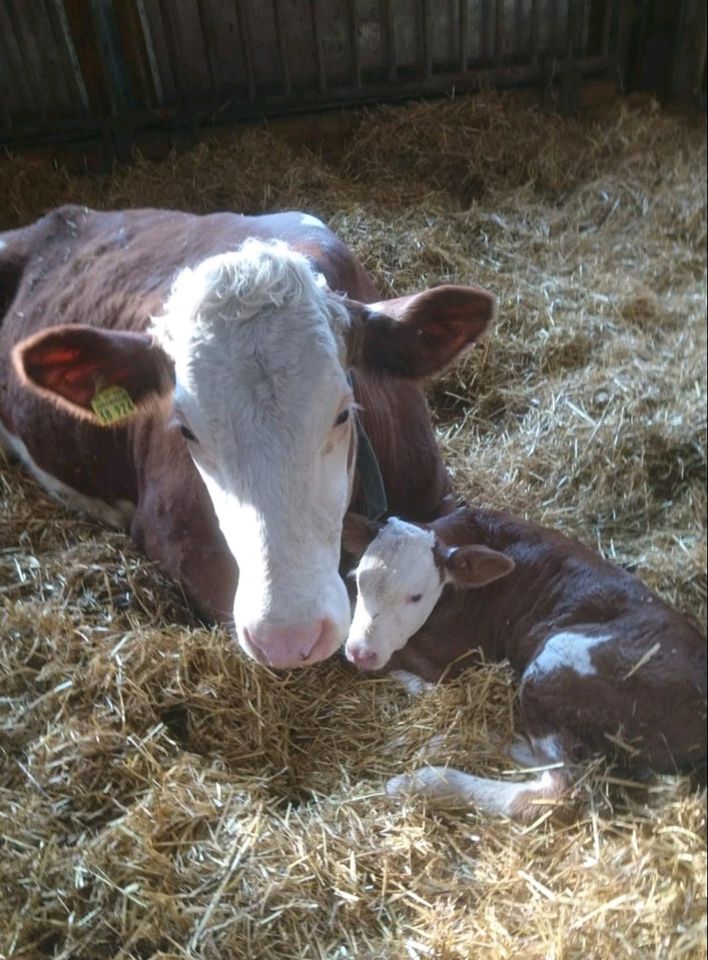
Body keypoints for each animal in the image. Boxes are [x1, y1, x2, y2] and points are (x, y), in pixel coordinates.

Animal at [344, 510, 708, 816]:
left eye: (416, 596)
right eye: (359, 579)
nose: (360, 650)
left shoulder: (455, 656)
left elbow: (401, 663)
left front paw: (410, 681)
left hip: (554, 660)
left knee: (558, 790)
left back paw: (423, 781)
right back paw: (466, 739)